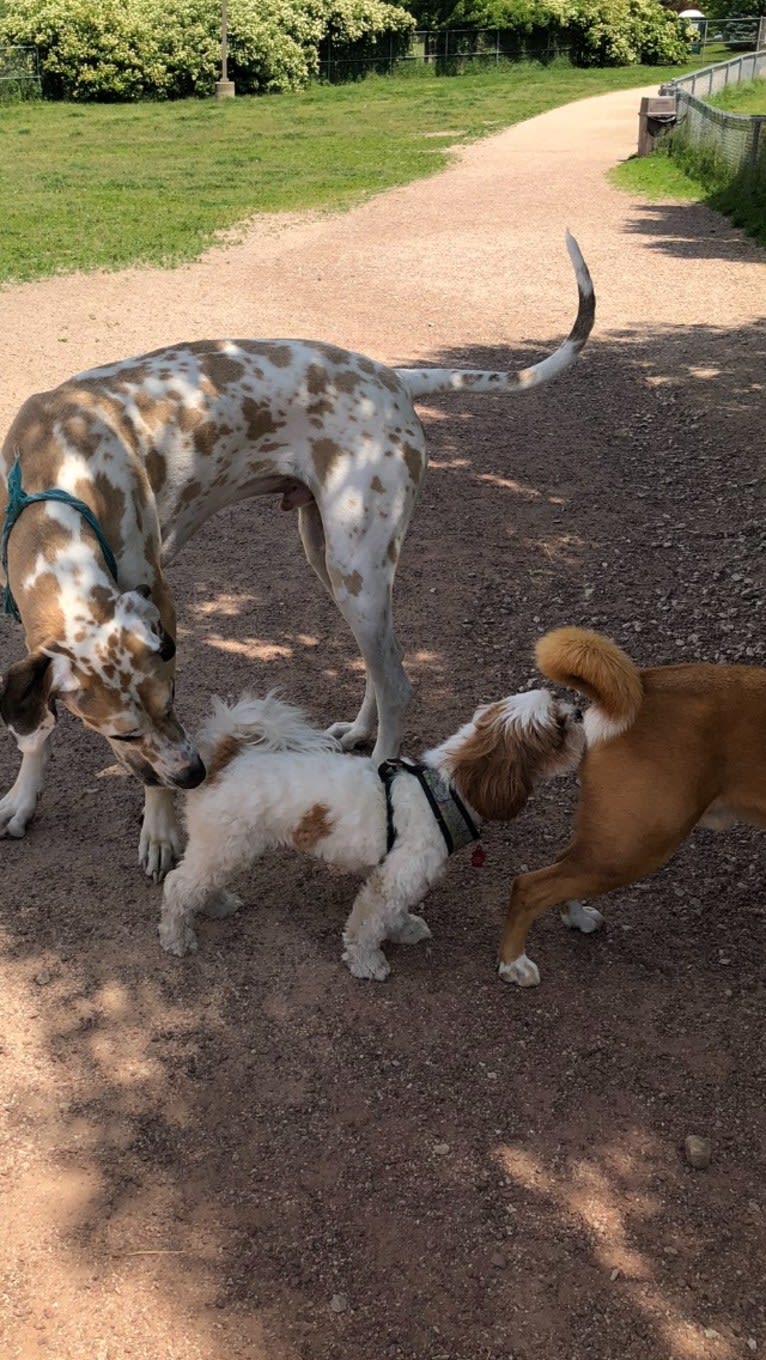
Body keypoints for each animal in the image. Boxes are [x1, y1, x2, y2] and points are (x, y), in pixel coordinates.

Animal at [0, 231, 595, 881]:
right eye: (124, 735)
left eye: (172, 699)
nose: (195, 774)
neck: (55, 472)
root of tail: (392, 376)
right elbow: (35, 728)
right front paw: (22, 798)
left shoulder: (157, 597)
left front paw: (159, 829)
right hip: (332, 560)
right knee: (381, 664)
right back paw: (357, 730)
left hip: (355, 566)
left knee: (398, 684)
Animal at [160, 690, 582, 979]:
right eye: (559, 727)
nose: (579, 711)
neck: (441, 791)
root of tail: (226, 758)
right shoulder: (393, 879)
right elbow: (367, 924)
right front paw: (368, 962)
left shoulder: (397, 878)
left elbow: (392, 914)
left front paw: (405, 929)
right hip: (225, 845)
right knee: (178, 887)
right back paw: (177, 937)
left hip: (224, 849)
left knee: (198, 882)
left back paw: (216, 904)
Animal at [497, 625, 766, 990]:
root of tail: (642, 686)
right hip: (631, 849)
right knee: (529, 886)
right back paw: (513, 962)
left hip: (612, 841)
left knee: (558, 865)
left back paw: (577, 917)